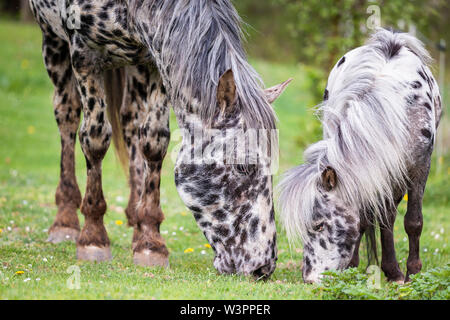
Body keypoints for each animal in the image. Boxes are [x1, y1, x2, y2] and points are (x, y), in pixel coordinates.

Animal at [31, 0, 292, 278]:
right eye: (243, 166)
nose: (263, 266)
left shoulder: (156, 60)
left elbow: (154, 141)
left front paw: (150, 241)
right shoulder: (84, 56)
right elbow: (95, 138)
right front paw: (93, 236)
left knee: (131, 120)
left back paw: (135, 222)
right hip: (53, 41)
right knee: (67, 114)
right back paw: (65, 220)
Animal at [280, 28, 442, 284]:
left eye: (319, 225)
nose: (309, 278)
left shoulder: (419, 168)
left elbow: (413, 222)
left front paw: (413, 273)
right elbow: (367, 219)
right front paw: (355, 267)